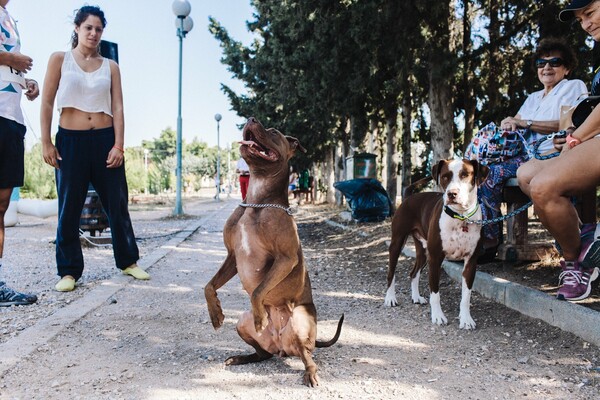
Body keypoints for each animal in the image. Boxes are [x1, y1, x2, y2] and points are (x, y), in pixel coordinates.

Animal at [204, 116, 342, 388]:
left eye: (274, 132)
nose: (251, 118)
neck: (256, 202)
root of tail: (282, 347)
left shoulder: (285, 259)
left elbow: (258, 291)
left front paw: (261, 317)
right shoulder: (232, 257)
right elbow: (209, 285)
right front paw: (216, 314)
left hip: (299, 321)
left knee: (308, 356)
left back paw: (310, 373)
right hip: (242, 323)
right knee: (263, 354)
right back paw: (241, 358)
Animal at [384, 158, 488, 330]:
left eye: (465, 174)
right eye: (445, 176)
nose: (452, 193)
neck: (461, 217)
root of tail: (408, 197)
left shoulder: (471, 261)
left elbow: (466, 296)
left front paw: (466, 319)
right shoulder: (435, 258)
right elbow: (435, 293)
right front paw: (438, 316)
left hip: (423, 250)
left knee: (413, 273)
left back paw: (416, 297)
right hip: (397, 243)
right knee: (391, 273)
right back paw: (390, 298)